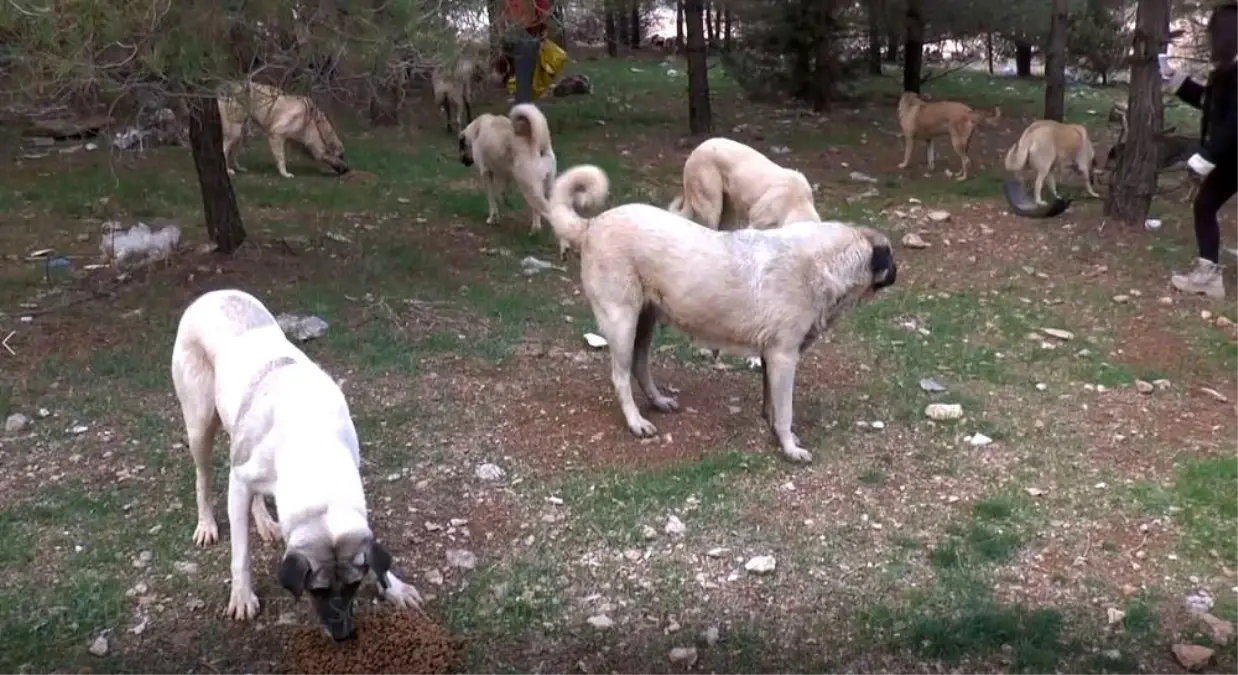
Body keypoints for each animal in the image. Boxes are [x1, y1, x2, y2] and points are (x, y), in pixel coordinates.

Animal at [169, 288, 423, 639]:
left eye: (354, 586)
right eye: (317, 591)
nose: (343, 635)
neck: (313, 446)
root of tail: (213, 293)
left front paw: (394, 586)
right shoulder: (239, 483)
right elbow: (240, 554)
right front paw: (242, 596)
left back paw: (265, 523)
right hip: (199, 424)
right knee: (202, 476)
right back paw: (206, 524)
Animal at [220, 80, 349, 180]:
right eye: (341, 156)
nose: (348, 169)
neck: (312, 122)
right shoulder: (276, 135)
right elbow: (282, 158)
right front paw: (285, 174)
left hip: (242, 132)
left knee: (233, 152)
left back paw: (238, 168)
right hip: (235, 132)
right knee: (224, 150)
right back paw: (228, 171)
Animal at [460, 101, 557, 235]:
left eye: (461, 147)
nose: (461, 161)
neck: (476, 129)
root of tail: (538, 143)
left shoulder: (486, 173)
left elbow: (492, 200)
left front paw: (492, 218)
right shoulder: (506, 174)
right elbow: (502, 193)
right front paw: (506, 203)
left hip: (529, 188)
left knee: (542, 209)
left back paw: (536, 231)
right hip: (546, 186)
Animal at [547, 165, 896, 465]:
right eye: (890, 257)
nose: (897, 272)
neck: (824, 263)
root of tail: (592, 224)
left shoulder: (770, 358)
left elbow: (771, 402)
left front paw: (772, 429)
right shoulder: (784, 357)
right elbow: (785, 411)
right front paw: (790, 447)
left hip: (645, 322)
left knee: (639, 364)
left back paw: (658, 401)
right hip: (622, 322)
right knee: (620, 376)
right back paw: (636, 422)